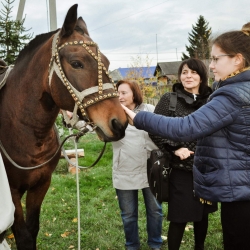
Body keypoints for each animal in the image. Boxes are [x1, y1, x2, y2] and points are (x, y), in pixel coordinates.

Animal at [0, 4, 127, 250]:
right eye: (77, 63)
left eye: (106, 63)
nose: (119, 122)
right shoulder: (11, 193)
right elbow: (23, 236)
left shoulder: (40, 185)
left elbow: (32, 230)